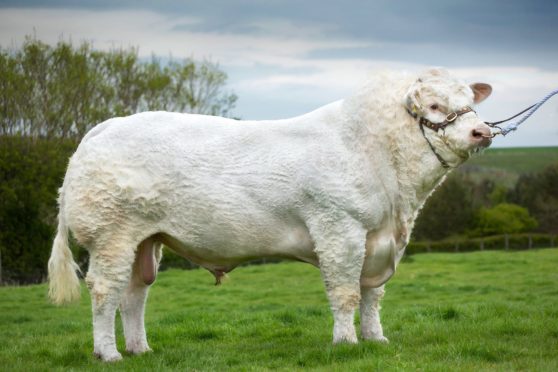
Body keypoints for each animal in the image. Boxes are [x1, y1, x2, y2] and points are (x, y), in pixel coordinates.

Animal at [49, 67, 494, 360]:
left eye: (470, 102)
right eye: (434, 105)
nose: (483, 131)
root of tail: (103, 128)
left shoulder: (378, 239)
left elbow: (372, 294)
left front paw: (376, 339)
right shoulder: (339, 228)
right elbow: (346, 291)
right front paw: (346, 343)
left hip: (146, 238)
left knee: (134, 294)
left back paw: (140, 349)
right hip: (112, 235)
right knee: (105, 290)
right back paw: (108, 354)